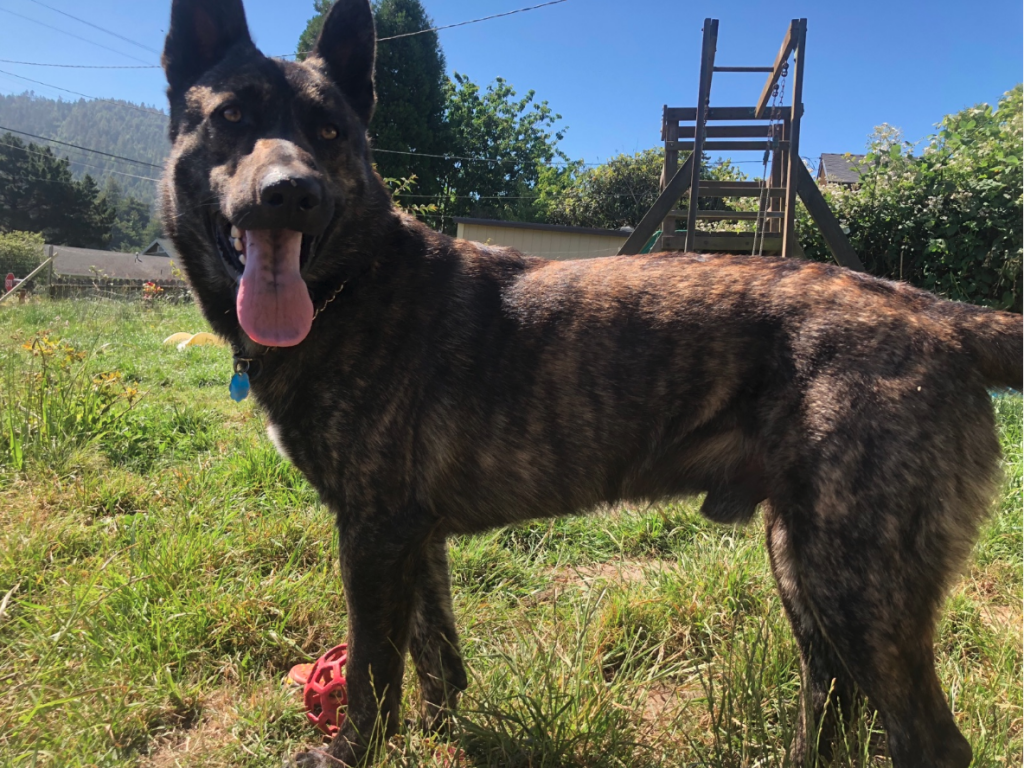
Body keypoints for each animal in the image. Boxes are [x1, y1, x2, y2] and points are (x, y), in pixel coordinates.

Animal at [159, 3, 1024, 765]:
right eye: (231, 117)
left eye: (331, 132)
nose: (290, 193)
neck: (356, 278)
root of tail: (939, 315)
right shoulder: (414, 537)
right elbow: (436, 659)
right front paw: (440, 733)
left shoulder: (372, 535)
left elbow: (376, 675)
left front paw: (351, 753)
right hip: (803, 562)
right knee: (831, 695)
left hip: (860, 583)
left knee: (925, 738)